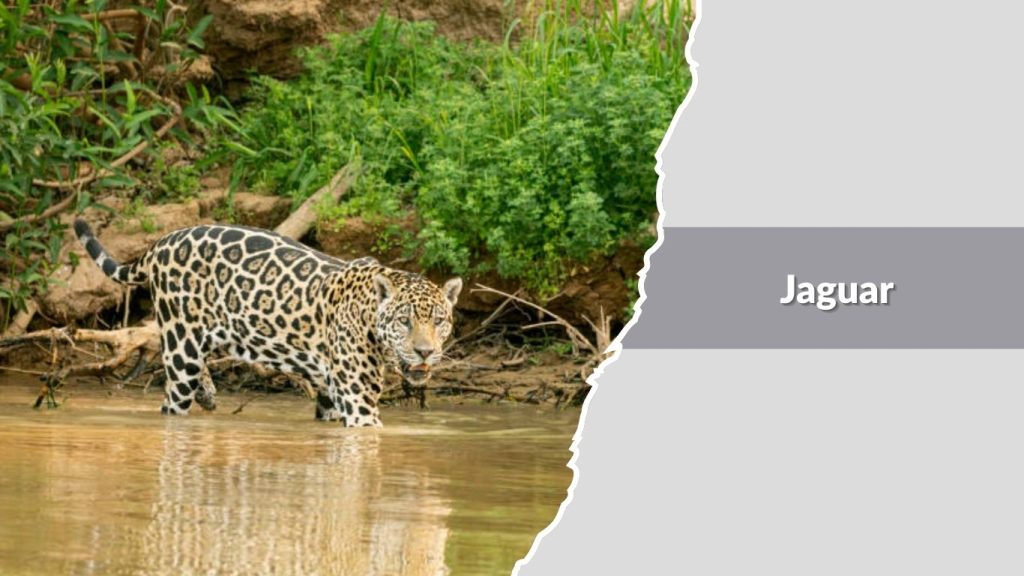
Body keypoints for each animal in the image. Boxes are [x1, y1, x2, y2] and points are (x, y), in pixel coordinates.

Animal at [73, 219, 462, 427]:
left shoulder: (330, 400)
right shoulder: (360, 407)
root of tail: (163, 242)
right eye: (404, 321)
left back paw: (208, 391)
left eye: (439, 321)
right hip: (181, 346)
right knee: (172, 399)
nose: (425, 352)